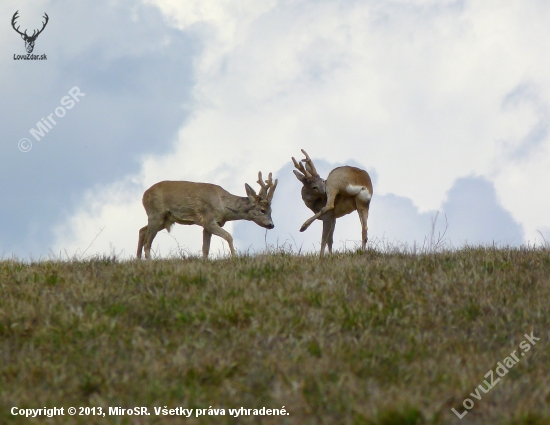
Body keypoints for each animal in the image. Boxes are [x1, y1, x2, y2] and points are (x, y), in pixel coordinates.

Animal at [136, 171, 278, 258]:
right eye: (263, 210)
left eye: (271, 211)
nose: (271, 225)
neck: (223, 205)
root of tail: (144, 195)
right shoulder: (209, 220)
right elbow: (228, 236)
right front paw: (234, 257)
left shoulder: (207, 226)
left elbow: (205, 248)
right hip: (156, 214)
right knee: (147, 244)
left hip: (165, 219)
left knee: (142, 230)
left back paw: (138, 260)